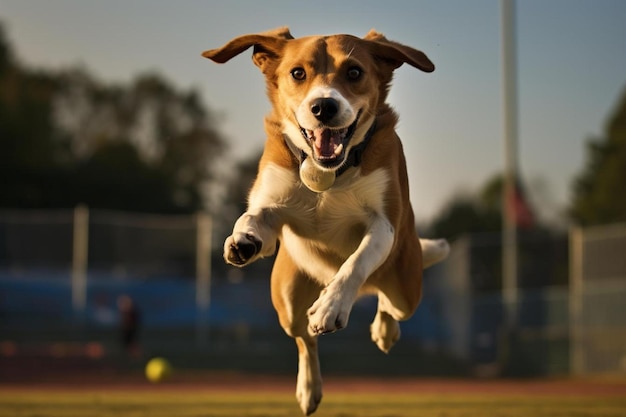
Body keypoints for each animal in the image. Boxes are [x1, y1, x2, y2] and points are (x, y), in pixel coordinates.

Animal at [202, 27, 446, 414]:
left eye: (355, 72)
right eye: (298, 73)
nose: (324, 107)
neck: (328, 173)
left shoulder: (384, 225)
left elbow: (355, 262)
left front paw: (332, 307)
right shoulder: (271, 201)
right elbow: (254, 216)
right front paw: (243, 239)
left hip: (405, 287)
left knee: (389, 305)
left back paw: (384, 329)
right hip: (287, 297)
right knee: (303, 339)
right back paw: (308, 387)